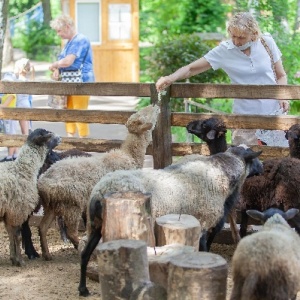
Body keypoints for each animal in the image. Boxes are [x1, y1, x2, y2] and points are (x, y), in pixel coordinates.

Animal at [0, 128, 61, 264]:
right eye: (48, 136)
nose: (60, 137)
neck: (24, 169)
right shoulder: (17, 210)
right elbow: (17, 235)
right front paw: (19, 260)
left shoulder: (9, 213)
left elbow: (10, 234)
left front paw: (13, 258)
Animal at [36, 104, 161, 262]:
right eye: (143, 116)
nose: (155, 105)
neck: (129, 156)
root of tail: (42, 183)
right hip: (71, 204)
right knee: (71, 232)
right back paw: (82, 249)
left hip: (52, 205)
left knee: (42, 227)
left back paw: (47, 254)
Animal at [78, 145, 262, 296]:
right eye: (253, 157)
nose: (262, 167)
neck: (221, 175)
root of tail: (100, 191)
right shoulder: (204, 221)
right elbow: (205, 248)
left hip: (95, 225)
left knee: (85, 254)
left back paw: (83, 289)